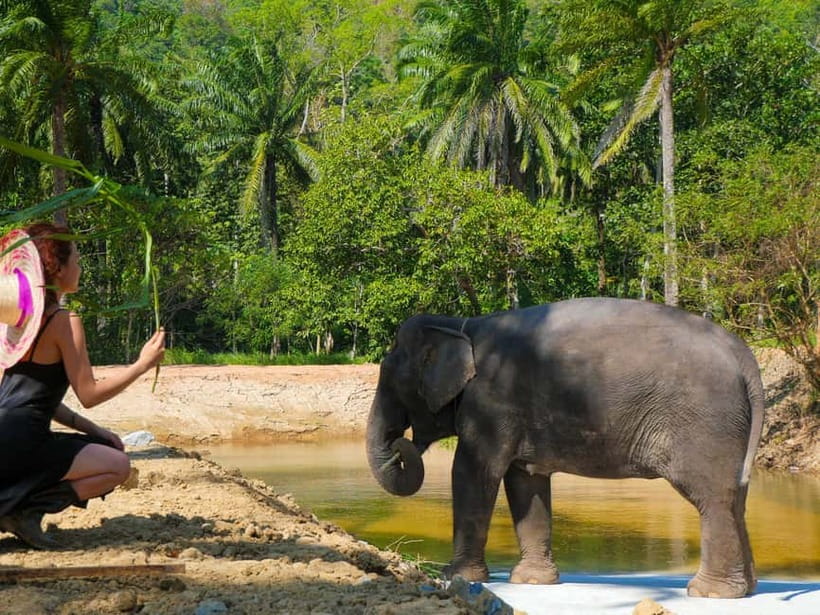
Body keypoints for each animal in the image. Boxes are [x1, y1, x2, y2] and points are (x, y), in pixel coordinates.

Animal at [366, 297, 764, 599]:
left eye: (391, 380)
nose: (401, 444)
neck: (460, 324)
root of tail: (743, 354)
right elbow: (525, 483)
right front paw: (531, 581)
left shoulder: (491, 403)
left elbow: (473, 472)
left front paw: (458, 576)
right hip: (729, 426)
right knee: (736, 499)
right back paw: (745, 589)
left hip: (705, 422)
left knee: (712, 499)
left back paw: (709, 593)